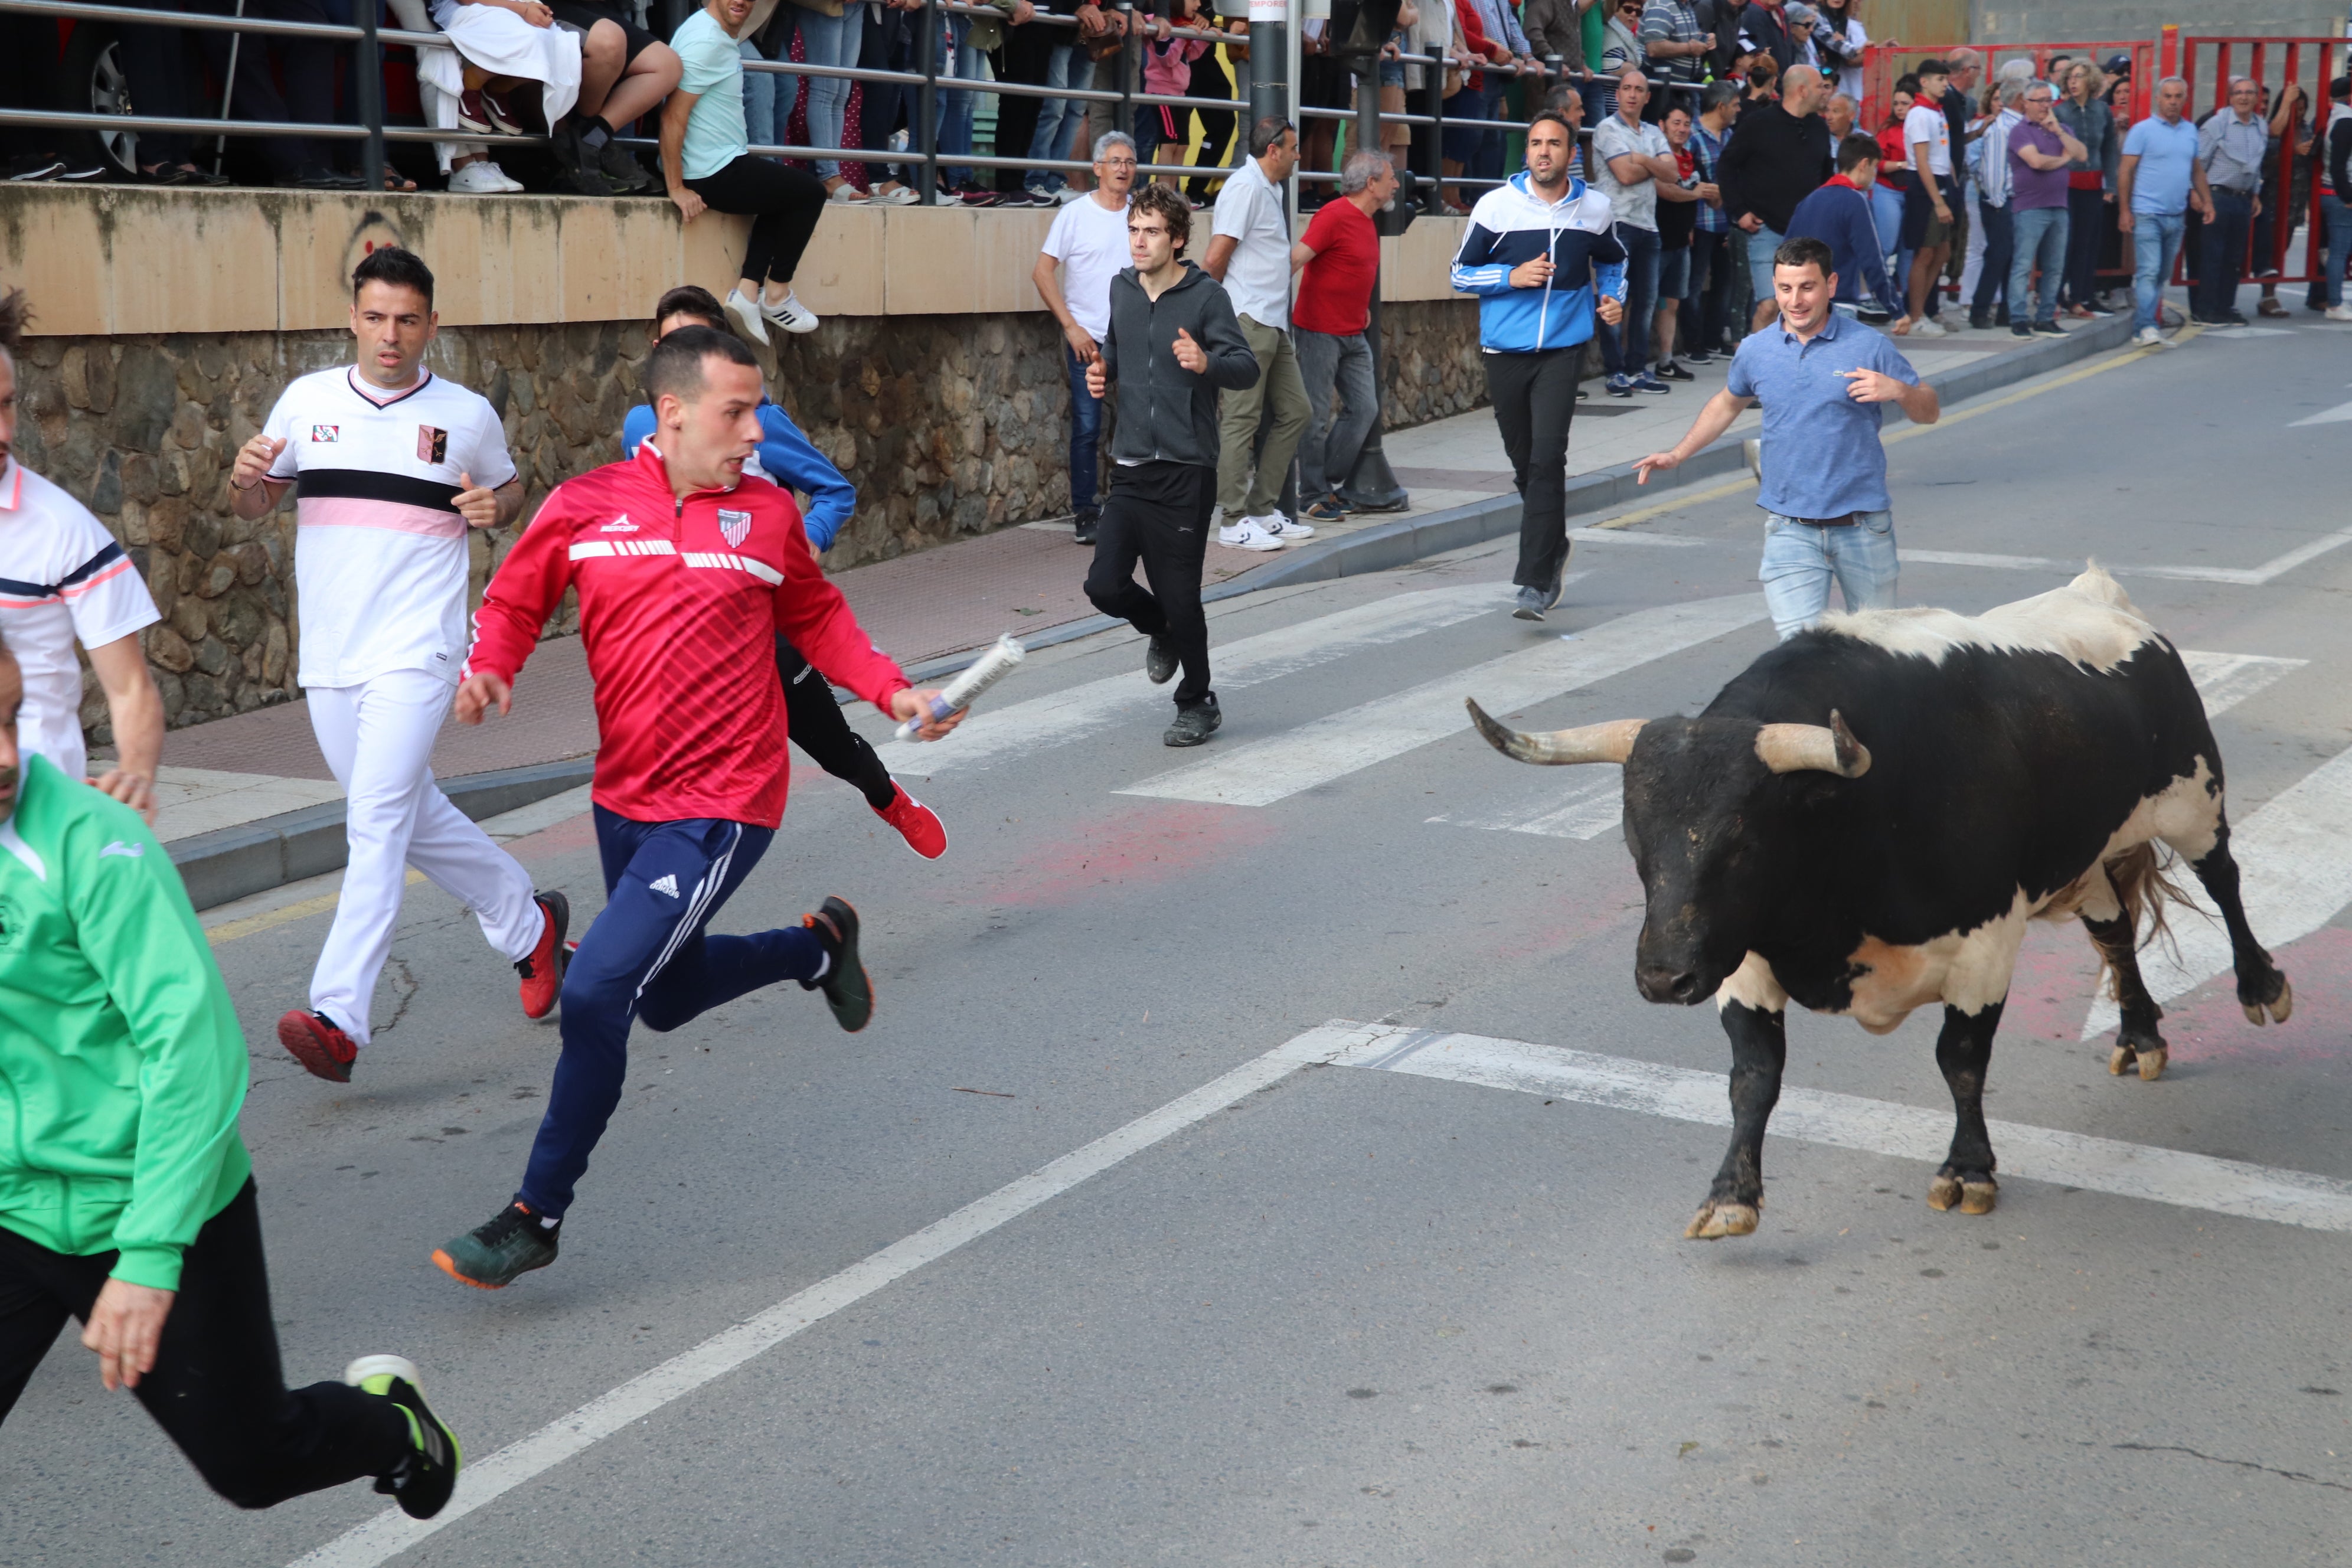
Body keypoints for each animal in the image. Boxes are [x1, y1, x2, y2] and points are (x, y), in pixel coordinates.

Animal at [1458, 571, 2286, 1241]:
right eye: (1635, 833)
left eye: (1743, 839)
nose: (1664, 977)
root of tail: (2099, 596)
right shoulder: (1741, 958)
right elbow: (1753, 1076)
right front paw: (1731, 1196)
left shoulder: (1984, 944)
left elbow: (1960, 1060)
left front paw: (1969, 1169)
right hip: (2081, 858)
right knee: (2114, 928)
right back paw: (2141, 1035)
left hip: (2193, 797)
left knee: (2226, 881)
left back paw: (2260, 985)